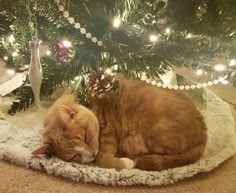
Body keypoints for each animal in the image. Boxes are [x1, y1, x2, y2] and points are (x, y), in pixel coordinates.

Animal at [32, 75, 206, 170]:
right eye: (74, 156)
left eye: (85, 137)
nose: (91, 153)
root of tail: (204, 133)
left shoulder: (108, 133)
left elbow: (103, 160)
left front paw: (126, 163)